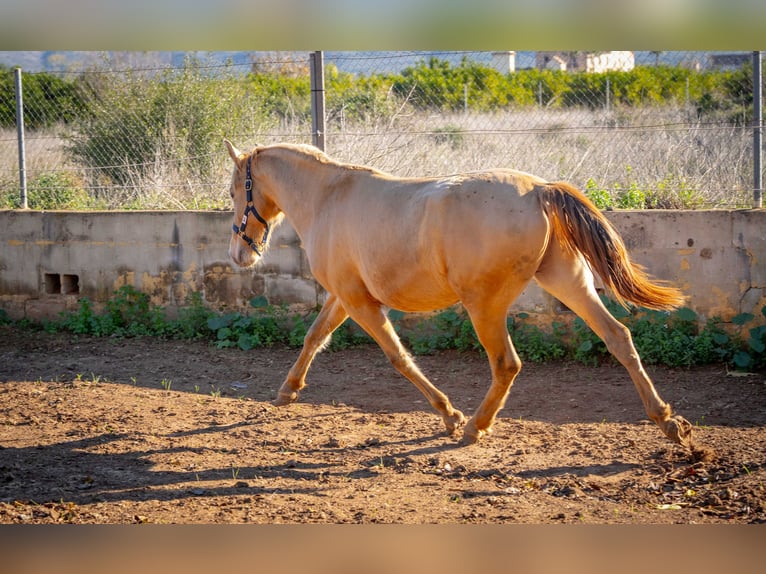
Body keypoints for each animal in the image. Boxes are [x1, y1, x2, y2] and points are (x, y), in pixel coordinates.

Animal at [225, 141, 704, 460]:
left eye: (234, 191)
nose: (239, 254)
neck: (329, 197)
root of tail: (538, 189)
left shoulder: (360, 302)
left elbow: (397, 357)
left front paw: (449, 415)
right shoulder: (345, 297)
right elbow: (314, 337)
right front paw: (287, 392)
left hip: (485, 305)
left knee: (507, 364)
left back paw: (475, 426)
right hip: (568, 281)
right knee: (618, 337)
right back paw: (670, 423)